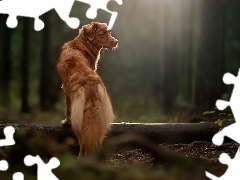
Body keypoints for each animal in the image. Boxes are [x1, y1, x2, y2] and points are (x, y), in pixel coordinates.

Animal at [57, 22, 119, 158]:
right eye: (103, 33)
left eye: (109, 32)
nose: (116, 41)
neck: (82, 44)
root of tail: (91, 83)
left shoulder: (66, 90)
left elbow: (67, 109)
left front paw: (65, 122)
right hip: (100, 117)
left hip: (78, 120)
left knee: (83, 142)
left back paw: (81, 157)